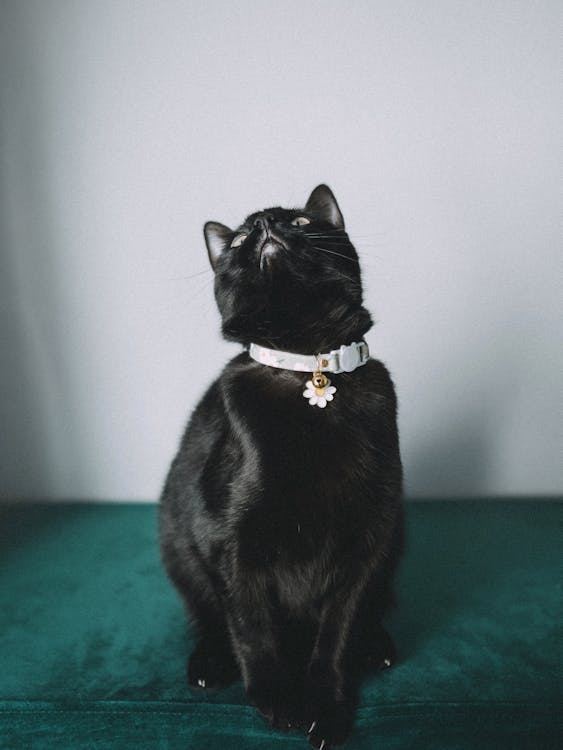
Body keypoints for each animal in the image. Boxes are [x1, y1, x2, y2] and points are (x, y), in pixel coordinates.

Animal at [160, 185, 406, 748]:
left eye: (300, 221)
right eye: (240, 241)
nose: (266, 227)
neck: (311, 366)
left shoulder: (368, 538)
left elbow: (338, 631)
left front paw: (326, 706)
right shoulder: (229, 542)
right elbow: (252, 627)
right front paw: (276, 698)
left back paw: (377, 645)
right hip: (180, 549)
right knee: (209, 617)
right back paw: (209, 663)